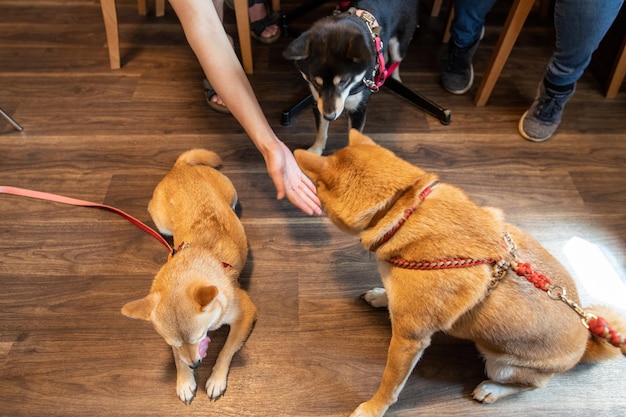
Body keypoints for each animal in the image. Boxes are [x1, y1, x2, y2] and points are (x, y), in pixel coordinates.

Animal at [122, 149, 256, 404]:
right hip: (162, 224)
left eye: (200, 336)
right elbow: (177, 359)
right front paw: (184, 380)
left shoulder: (245, 313)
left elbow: (226, 350)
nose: (195, 364)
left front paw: (215, 379)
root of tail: (179, 168)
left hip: (230, 192)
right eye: (172, 344)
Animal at [294, 130, 624, 416]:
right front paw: (380, 295)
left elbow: (389, 386)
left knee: (531, 386)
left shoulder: (409, 341)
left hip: (502, 364)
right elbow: (392, 294)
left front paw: (372, 409)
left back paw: (491, 390)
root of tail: (586, 339)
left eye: (317, 187)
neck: (404, 209)